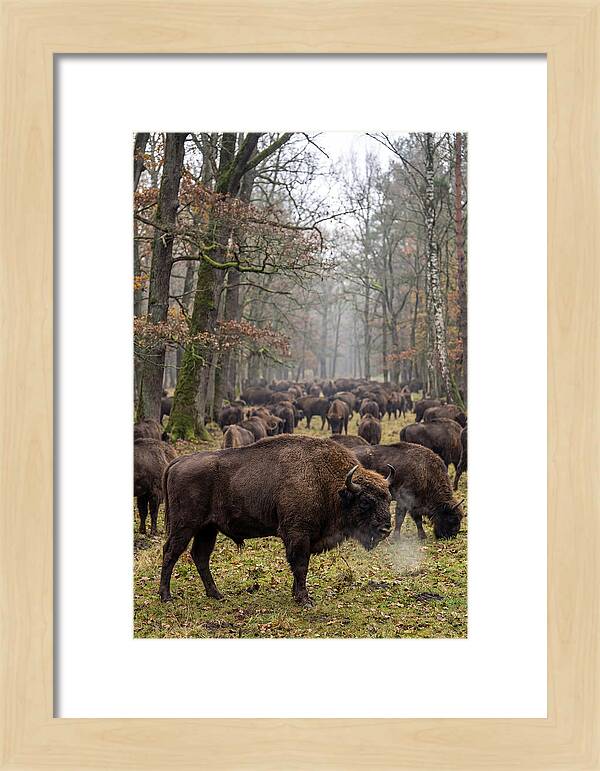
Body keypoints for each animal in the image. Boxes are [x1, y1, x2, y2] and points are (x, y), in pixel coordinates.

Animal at [159, 435, 394, 606]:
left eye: (388, 498)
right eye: (365, 501)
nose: (386, 530)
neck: (331, 485)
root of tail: (177, 462)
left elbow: (299, 567)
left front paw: (296, 595)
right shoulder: (298, 534)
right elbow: (300, 565)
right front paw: (305, 600)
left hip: (208, 528)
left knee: (200, 556)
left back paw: (216, 594)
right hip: (185, 526)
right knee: (171, 552)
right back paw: (166, 597)